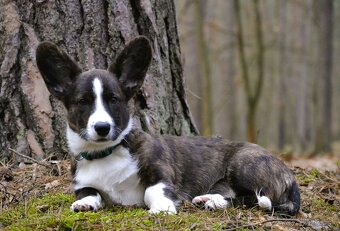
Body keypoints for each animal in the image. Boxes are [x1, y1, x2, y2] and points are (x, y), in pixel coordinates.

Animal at [35, 35, 298, 215]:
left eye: (114, 99)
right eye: (83, 102)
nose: (102, 127)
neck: (105, 154)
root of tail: (288, 173)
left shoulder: (161, 172)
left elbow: (153, 190)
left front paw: (161, 207)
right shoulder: (83, 182)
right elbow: (89, 191)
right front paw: (85, 203)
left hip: (243, 165)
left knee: (255, 198)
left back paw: (213, 201)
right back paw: (209, 199)